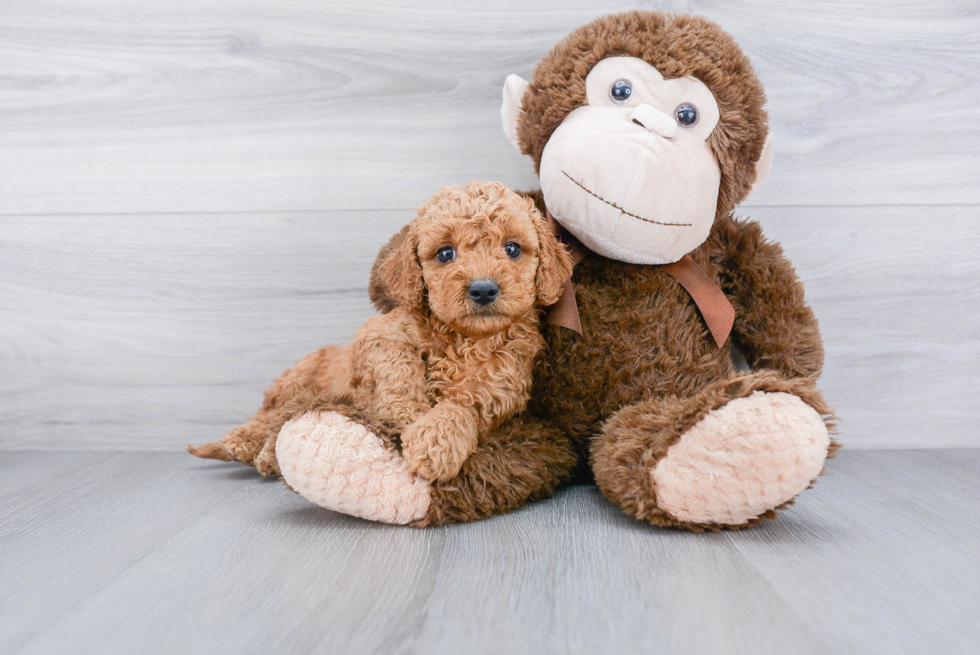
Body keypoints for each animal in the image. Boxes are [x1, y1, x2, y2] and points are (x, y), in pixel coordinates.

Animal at [190, 182, 572, 484]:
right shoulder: (377, 333)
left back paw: (265, 455)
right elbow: (398, 361)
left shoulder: (502, 387)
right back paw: (243, 439)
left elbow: (463, 406)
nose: (482, 290)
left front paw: (436, 441)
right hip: (298, 375)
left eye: (512, 248)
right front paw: (409, 412)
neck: (464, 338)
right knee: (270, 411)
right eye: (445, 253)